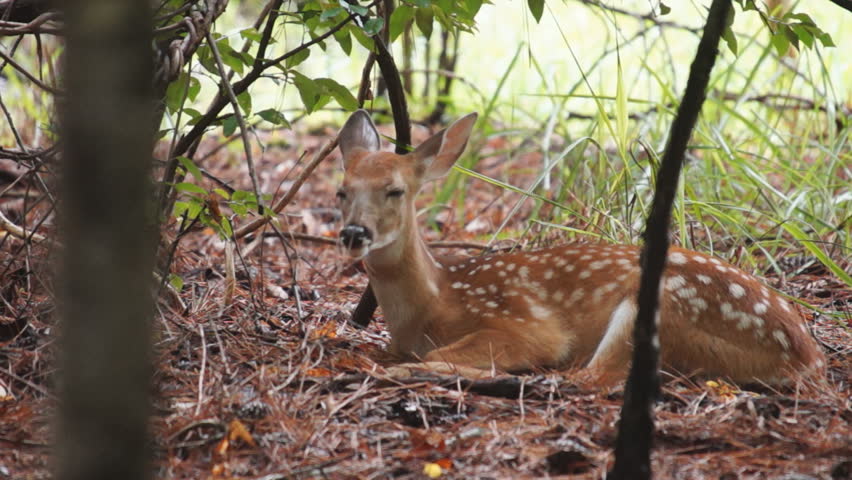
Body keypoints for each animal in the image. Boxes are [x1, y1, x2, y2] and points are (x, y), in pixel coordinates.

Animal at [334, 109, 825, 385]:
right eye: (342, 191)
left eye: (395, 190)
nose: (354, 233)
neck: (434, 302)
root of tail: (806, 356)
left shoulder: (524, 323)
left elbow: (459, 351)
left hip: (660, 308)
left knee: (592, 379)